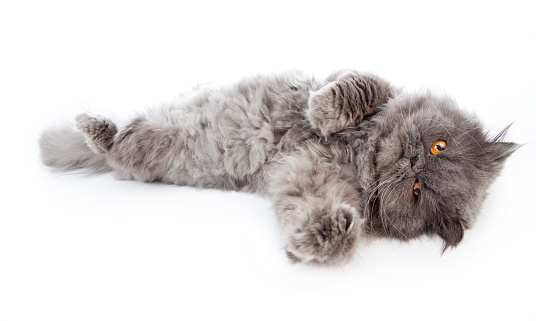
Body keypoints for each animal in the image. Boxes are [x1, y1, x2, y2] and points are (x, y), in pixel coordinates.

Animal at [38, 70, 520, 264]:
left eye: (418, 190)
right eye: (439, 147)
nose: (413, 159)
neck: (361, 150)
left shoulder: (310, 175)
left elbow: (312, 207)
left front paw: (328, 234)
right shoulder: (369, 84)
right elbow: (363, 88)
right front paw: (322, 108)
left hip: (148, 151)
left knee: (117, 150)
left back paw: (95, 131)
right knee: (118, 136)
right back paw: (91, 124)